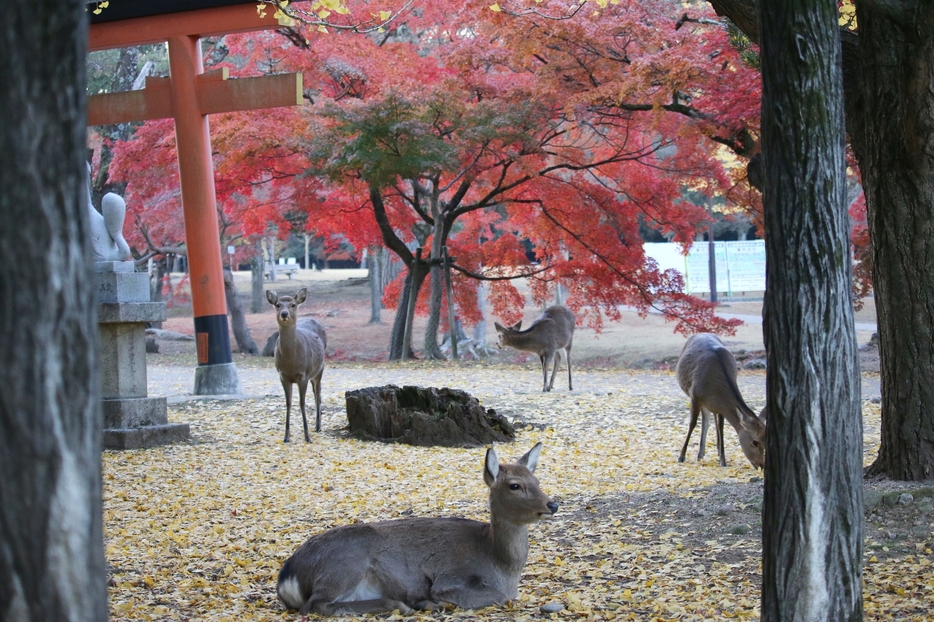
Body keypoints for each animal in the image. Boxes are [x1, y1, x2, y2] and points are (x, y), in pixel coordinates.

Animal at [266, 288, 330, 444]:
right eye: (277, 304)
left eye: (293, 305)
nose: (284, 314)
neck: (291, 363)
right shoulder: (282, 375)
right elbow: (288, 403)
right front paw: (286, 437)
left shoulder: (303, 375)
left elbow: (302, 403)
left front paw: (307, 436)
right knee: (316, 393)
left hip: (320, 369)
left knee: (318, 394)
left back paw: (318, 426)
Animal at [274, 446, 560, 616]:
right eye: (515, 485)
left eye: (537, 480)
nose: (553, 504)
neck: (501, 567)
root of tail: (287, 577)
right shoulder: (451, 578)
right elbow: (499, 597)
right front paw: (431, 601)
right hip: (344, 563)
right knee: (315, 605)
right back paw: (404, 604)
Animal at [676, 334, 772, 470]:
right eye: (755, 442)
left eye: (766, 439)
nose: (761, 465)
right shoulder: (694, 396)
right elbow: (692, 424)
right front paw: (681, 456)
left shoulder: (720, 407)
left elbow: (721, 428)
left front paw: (723, 460)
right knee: (705, 420)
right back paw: (700, 454)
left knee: (710, 421)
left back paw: (706, 453)